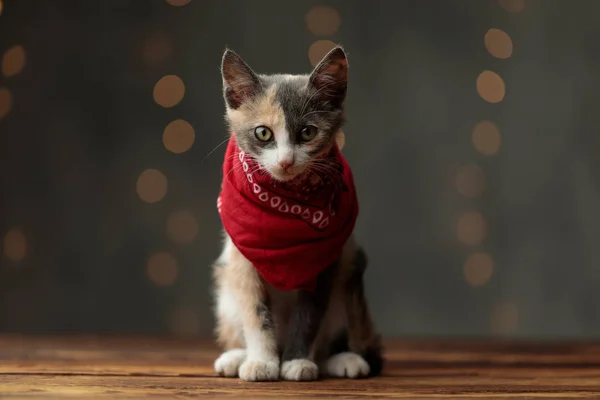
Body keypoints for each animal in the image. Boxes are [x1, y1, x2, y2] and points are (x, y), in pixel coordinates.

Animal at [211, 44, 382, 382]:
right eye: (263, 133)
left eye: (307, 133)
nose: (286, 161)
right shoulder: (241, 259)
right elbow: (255, 312)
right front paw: (262, 362)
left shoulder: (326, 262)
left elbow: (310, 314)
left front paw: (297, 361)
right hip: (225, 284)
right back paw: (237, 356)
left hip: (351, 273)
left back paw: (342, 358)